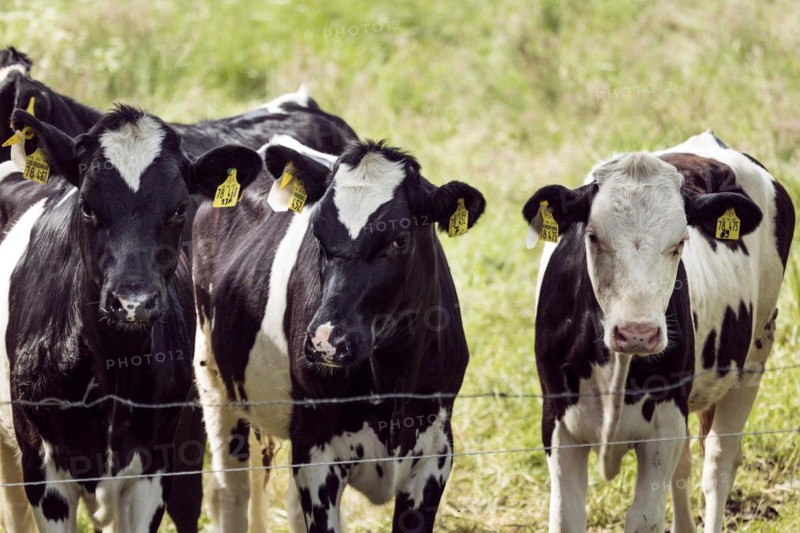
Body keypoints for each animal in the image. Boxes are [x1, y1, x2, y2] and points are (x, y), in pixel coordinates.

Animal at [192, 135, 486, 532]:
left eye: (399, 239)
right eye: (317, 233)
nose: (326, 342)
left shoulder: (436, 451)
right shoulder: (316, 453)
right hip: (215, 383)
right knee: (232, 491)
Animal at [523, 131, 794, 532]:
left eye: (680, 241)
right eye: (593, 236)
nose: (636, 333)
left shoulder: (664, 424)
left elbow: (645, 518)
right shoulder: (558, 422)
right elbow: (565, 517)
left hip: (754, 357)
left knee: (718, 465)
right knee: (683, 468)